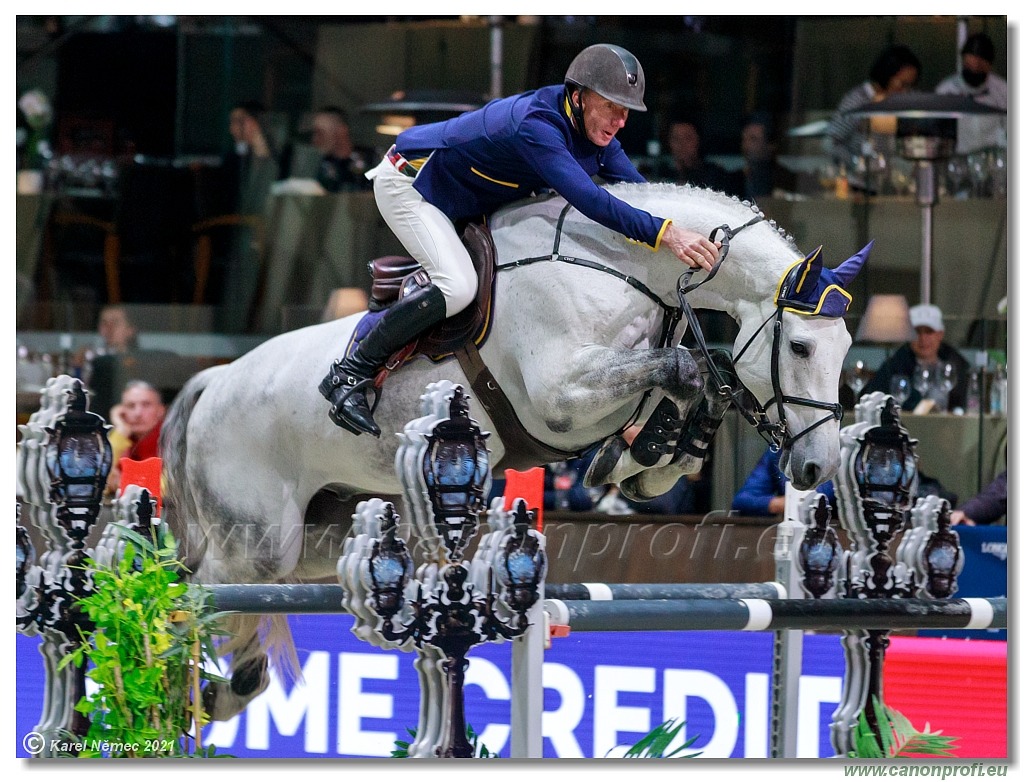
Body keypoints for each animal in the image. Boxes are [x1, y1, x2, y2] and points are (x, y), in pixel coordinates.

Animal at [159, 182, 864, 716]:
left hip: (318, 539)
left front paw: (653, 458)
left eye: (846, 351)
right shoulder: (560, 398)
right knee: (190, 593)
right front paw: (651, 448)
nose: (814, 466)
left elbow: (688, 380)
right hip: (257, 544)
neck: (621, 267)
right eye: (800, 346)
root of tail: (215, 380)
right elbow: (688, 366)